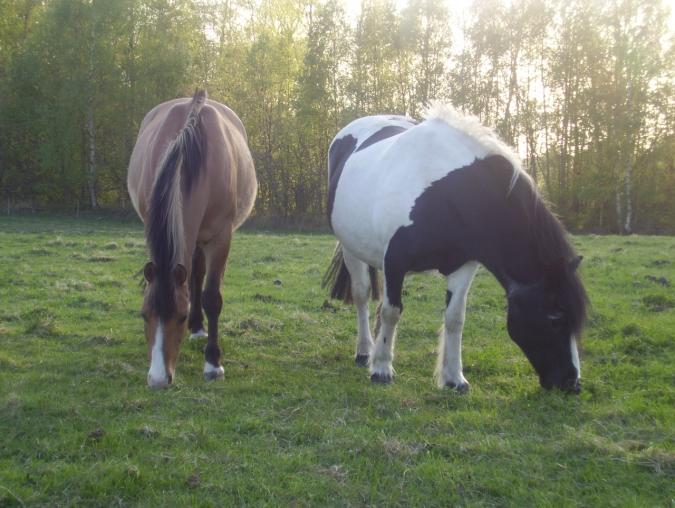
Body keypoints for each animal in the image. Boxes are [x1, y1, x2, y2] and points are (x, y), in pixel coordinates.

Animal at [127, 89, 256, 386]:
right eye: (143, 314)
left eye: (181, 316)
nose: (159, 379)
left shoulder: (220, 238)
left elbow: (212, 297)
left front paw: (213, 363)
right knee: (195, 273)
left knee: (198, 276)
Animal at [322, 104, 588, 392]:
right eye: (555, 318)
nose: (572, 383)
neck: (446, 192)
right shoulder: (395, 262)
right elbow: (392, 312)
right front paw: (381, 369)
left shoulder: (464, 265)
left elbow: (454, 318)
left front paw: (454, 377)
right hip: (351, 249)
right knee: (362, 295)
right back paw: (364, 351)